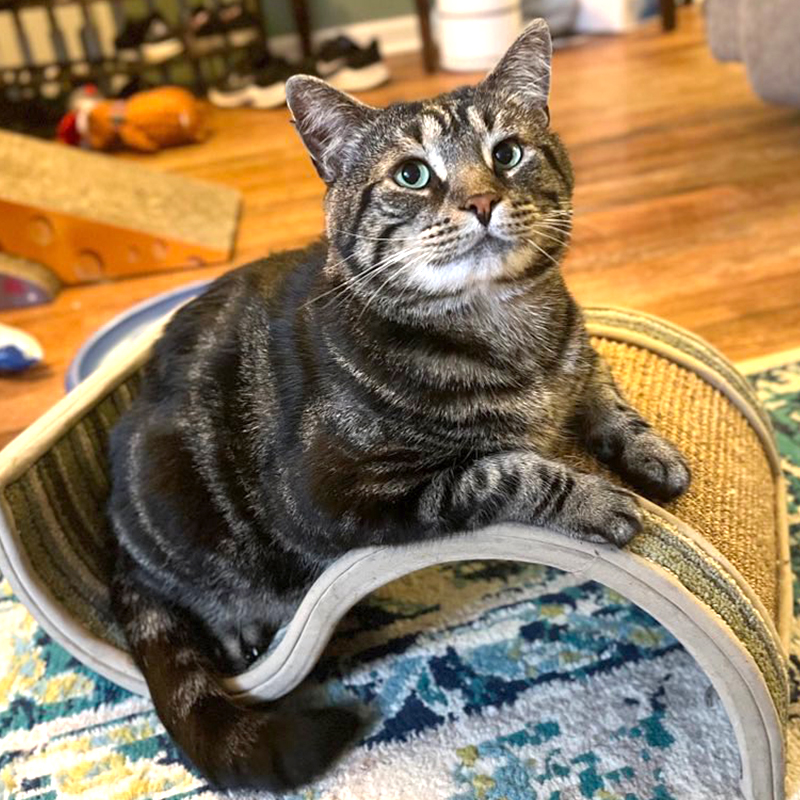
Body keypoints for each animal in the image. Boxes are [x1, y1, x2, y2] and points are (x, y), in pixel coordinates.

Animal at [109, 18, 692, 792]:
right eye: (412, 174)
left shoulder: (578, 360)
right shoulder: (340, 494)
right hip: (170, 489)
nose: (481, 201)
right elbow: (504, 470)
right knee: (183, 589)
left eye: (507, 153)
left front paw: (656, 458)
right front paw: (599, 501)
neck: (507, 331)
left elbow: (608, 400)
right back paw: (238, 625)